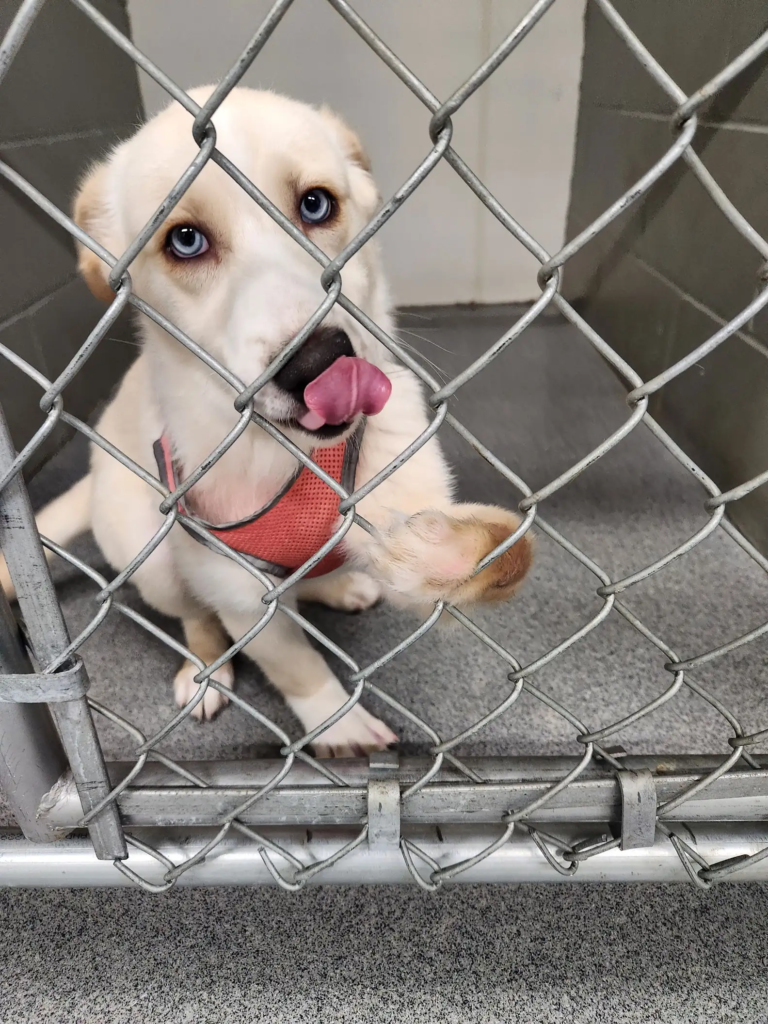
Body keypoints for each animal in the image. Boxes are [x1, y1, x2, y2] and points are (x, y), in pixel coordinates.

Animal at [0, 88, 536, 757]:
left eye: (316, 204)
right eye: (184, 240)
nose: (318, 363)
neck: (287, 454)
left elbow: (492, 552)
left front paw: (451, 551)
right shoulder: (238, 592)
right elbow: (295, 666)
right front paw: (341, 728)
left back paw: (339, 585)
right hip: (151, 560)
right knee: (196, 619)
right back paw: (203, 673)